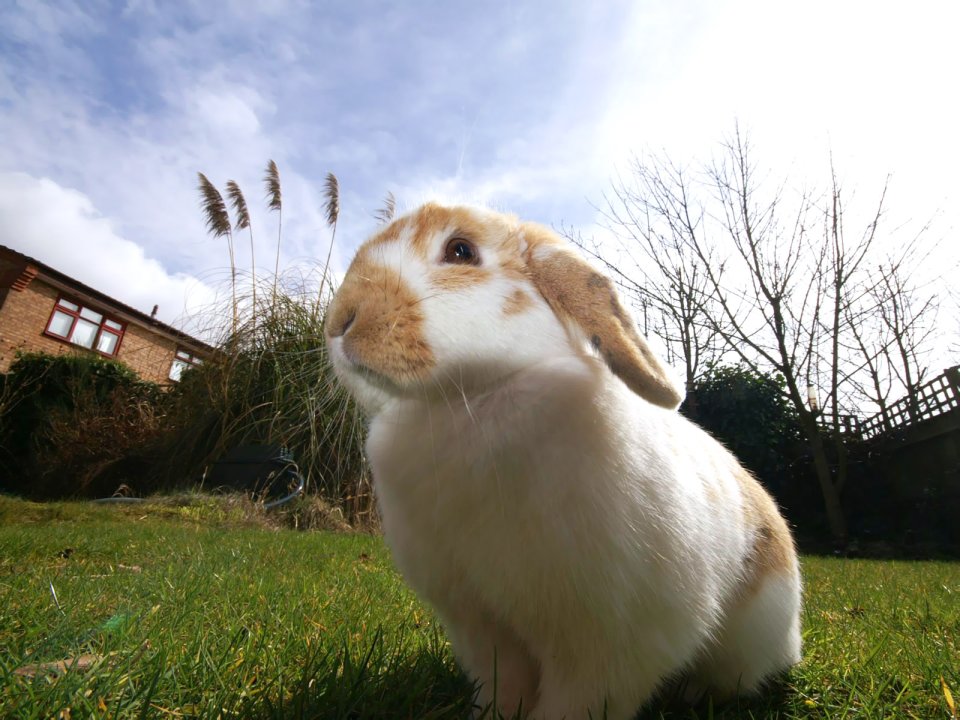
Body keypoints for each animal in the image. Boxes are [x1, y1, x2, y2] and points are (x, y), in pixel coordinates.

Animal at [324, 202, 802, 720]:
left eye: (461, 251)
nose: (341, 318)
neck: (472, 396)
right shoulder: (482, 627)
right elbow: (502, 685)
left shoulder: (608, 641)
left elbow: (576, 701)